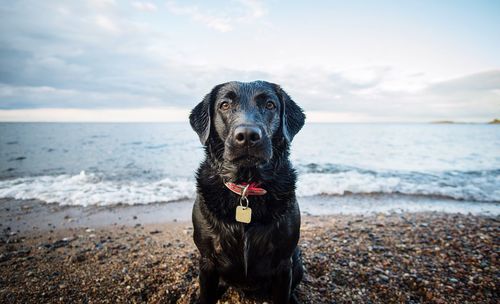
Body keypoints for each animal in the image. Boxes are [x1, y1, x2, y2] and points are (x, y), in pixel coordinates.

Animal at [188, 81, 302, 304]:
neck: (246, 187)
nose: (248, 136)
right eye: (224, 105)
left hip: (297, 260)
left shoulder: (284, 262)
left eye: (270, 104)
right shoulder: (207, 261)